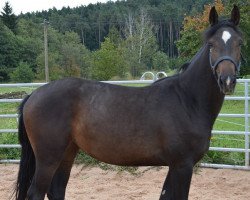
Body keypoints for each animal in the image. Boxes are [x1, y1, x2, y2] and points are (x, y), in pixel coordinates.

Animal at [14, 5, 242, 200]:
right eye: (211, 45)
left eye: (240, 43)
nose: (227, 81)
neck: (187, 100)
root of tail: (33, 95)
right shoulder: (182, 165)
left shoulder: (174, 166)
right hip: (48, 158)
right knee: (36, 193)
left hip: (67, 153)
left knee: (57, 189)